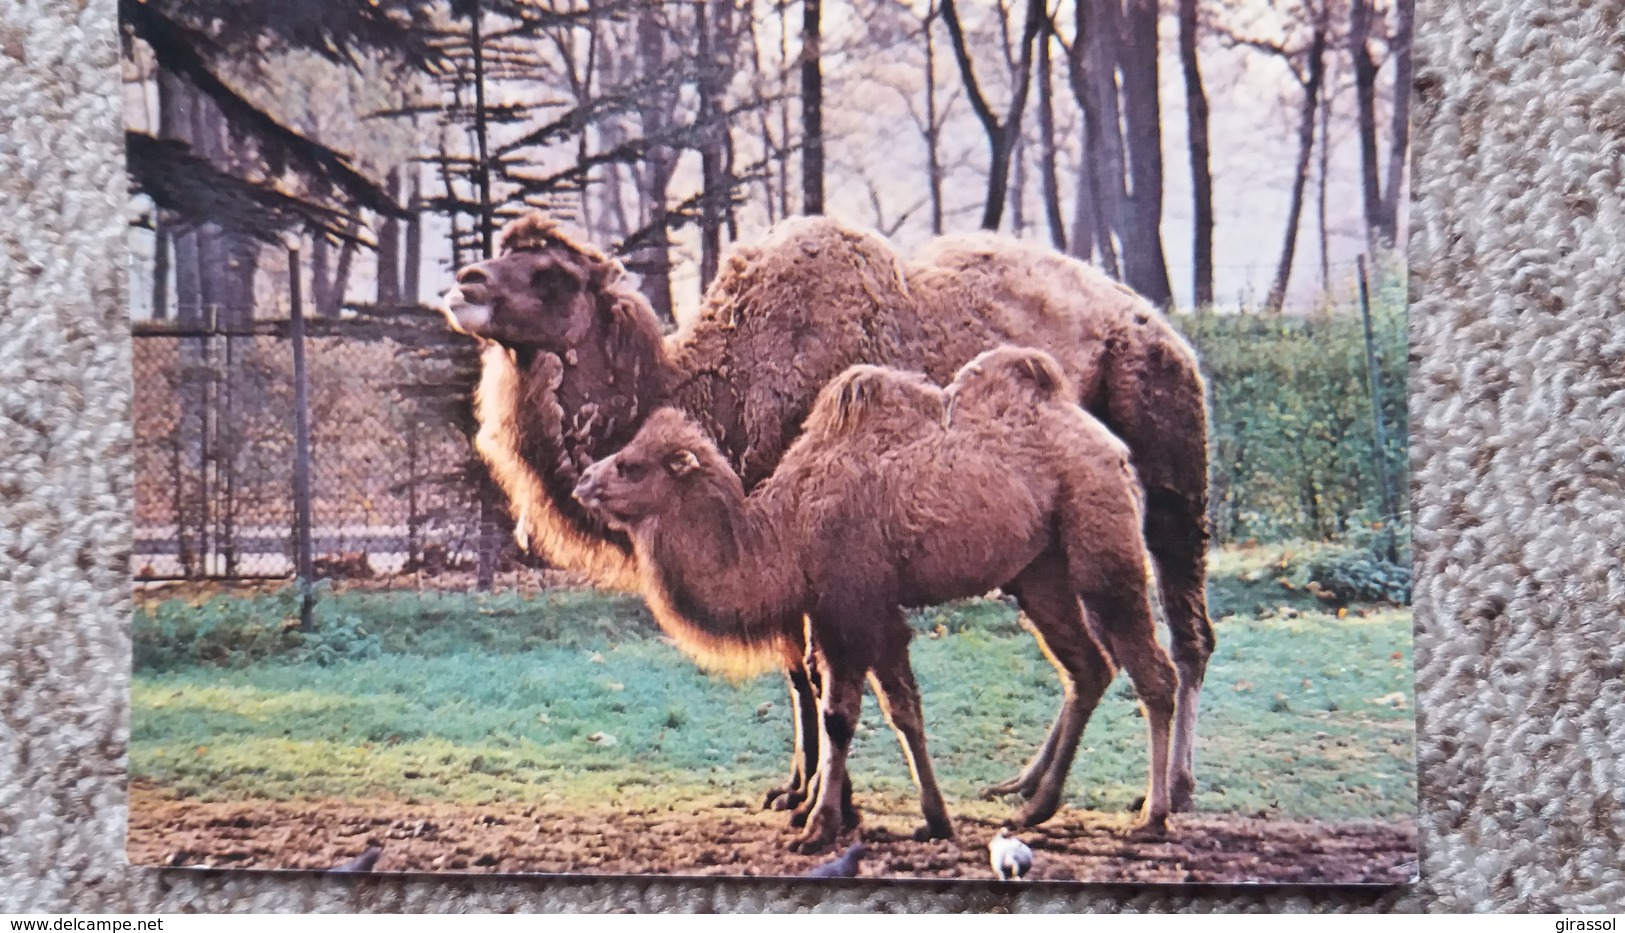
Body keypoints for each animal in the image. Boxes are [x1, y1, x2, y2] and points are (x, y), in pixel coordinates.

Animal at [565, 349, 1176, 858]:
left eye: (631, 465)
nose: (583, 481)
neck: (787, 534)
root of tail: (1114, 448)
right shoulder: (868, 608)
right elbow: (903, 708)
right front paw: (934, 820)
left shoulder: (852, 606)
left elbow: (840, 716)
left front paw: (818, 828)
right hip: (1038, 573)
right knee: (1087, 667)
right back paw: (1035, 808)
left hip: (1103, 547)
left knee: (1151, 670)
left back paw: (1151, 817)